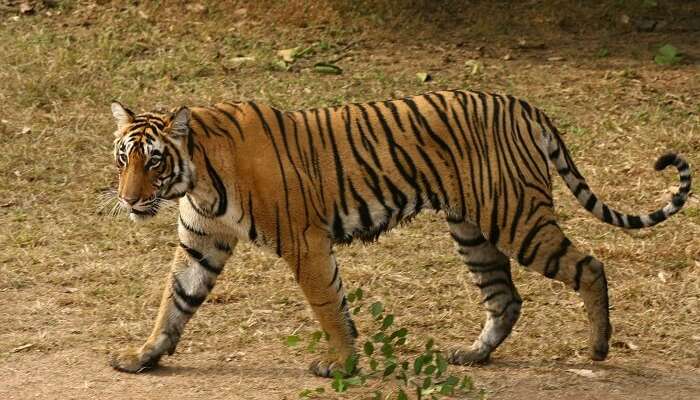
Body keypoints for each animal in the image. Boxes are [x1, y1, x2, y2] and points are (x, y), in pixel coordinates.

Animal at [106, 91, 692, 378]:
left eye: (154, 161)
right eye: (123, 157)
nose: (130, 200)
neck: (197, 176)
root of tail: (525, 106)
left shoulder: (304, 241)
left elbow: (328, 305)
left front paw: (340, 365)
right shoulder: (200, 242)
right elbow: (174, 303)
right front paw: (143, 357)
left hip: (517, 218)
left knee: (589, 265)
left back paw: (598, 348)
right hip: (472, 229)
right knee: (505, 298)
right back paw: (473, 355)